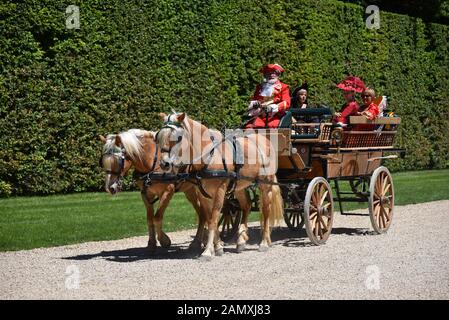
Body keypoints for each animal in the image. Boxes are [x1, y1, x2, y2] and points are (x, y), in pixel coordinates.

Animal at [156, 112, 282, 260]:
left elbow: (213, 219)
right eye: (159, 137)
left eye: (178, 138)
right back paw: (241, 240)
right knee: (247, 206)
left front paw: (208, 251)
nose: (164, 164)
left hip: (265, 185)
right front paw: (218, 247)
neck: (209, 157)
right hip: (239, 187)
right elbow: (210, 218)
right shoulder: (203, 194)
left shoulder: (220, 191)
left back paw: (264, 242)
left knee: (266, 211)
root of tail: (264, 140)